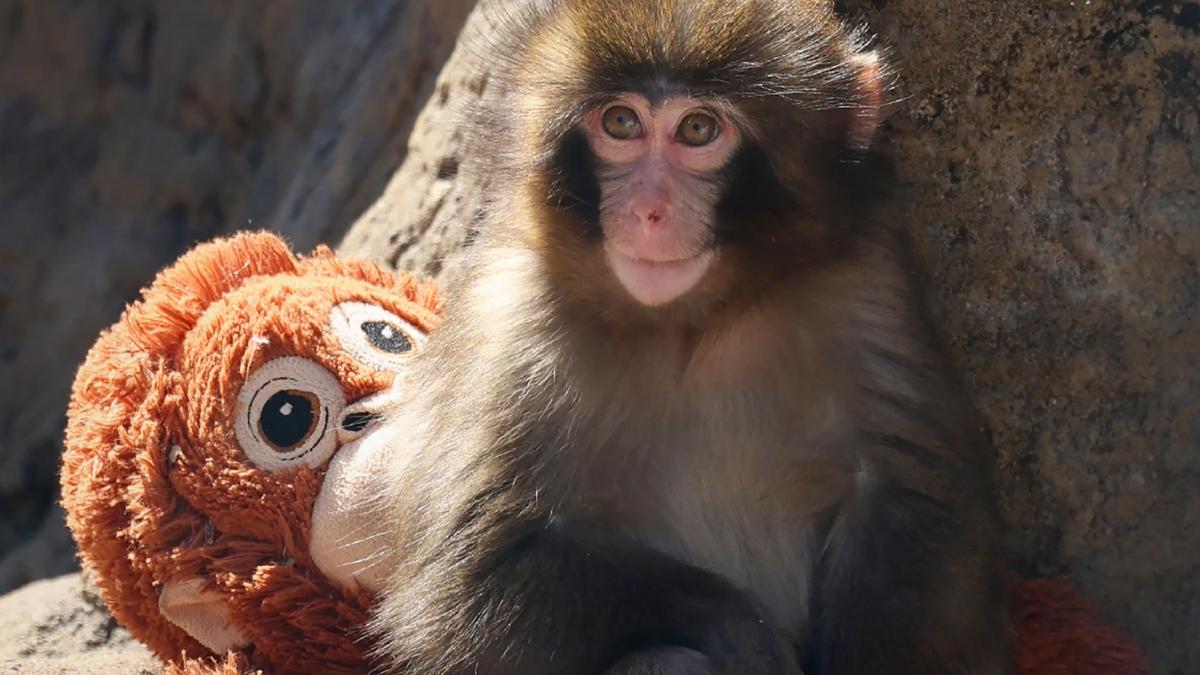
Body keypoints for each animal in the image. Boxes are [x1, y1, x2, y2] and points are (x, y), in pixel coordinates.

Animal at [346, 1, 1016, 673]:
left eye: (697, 130)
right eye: (621, 122)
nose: (649, 212)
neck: (692, 321)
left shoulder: (867, 285)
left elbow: (912, 499)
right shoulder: (510, 323)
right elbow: (470, 580)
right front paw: (737, 627)